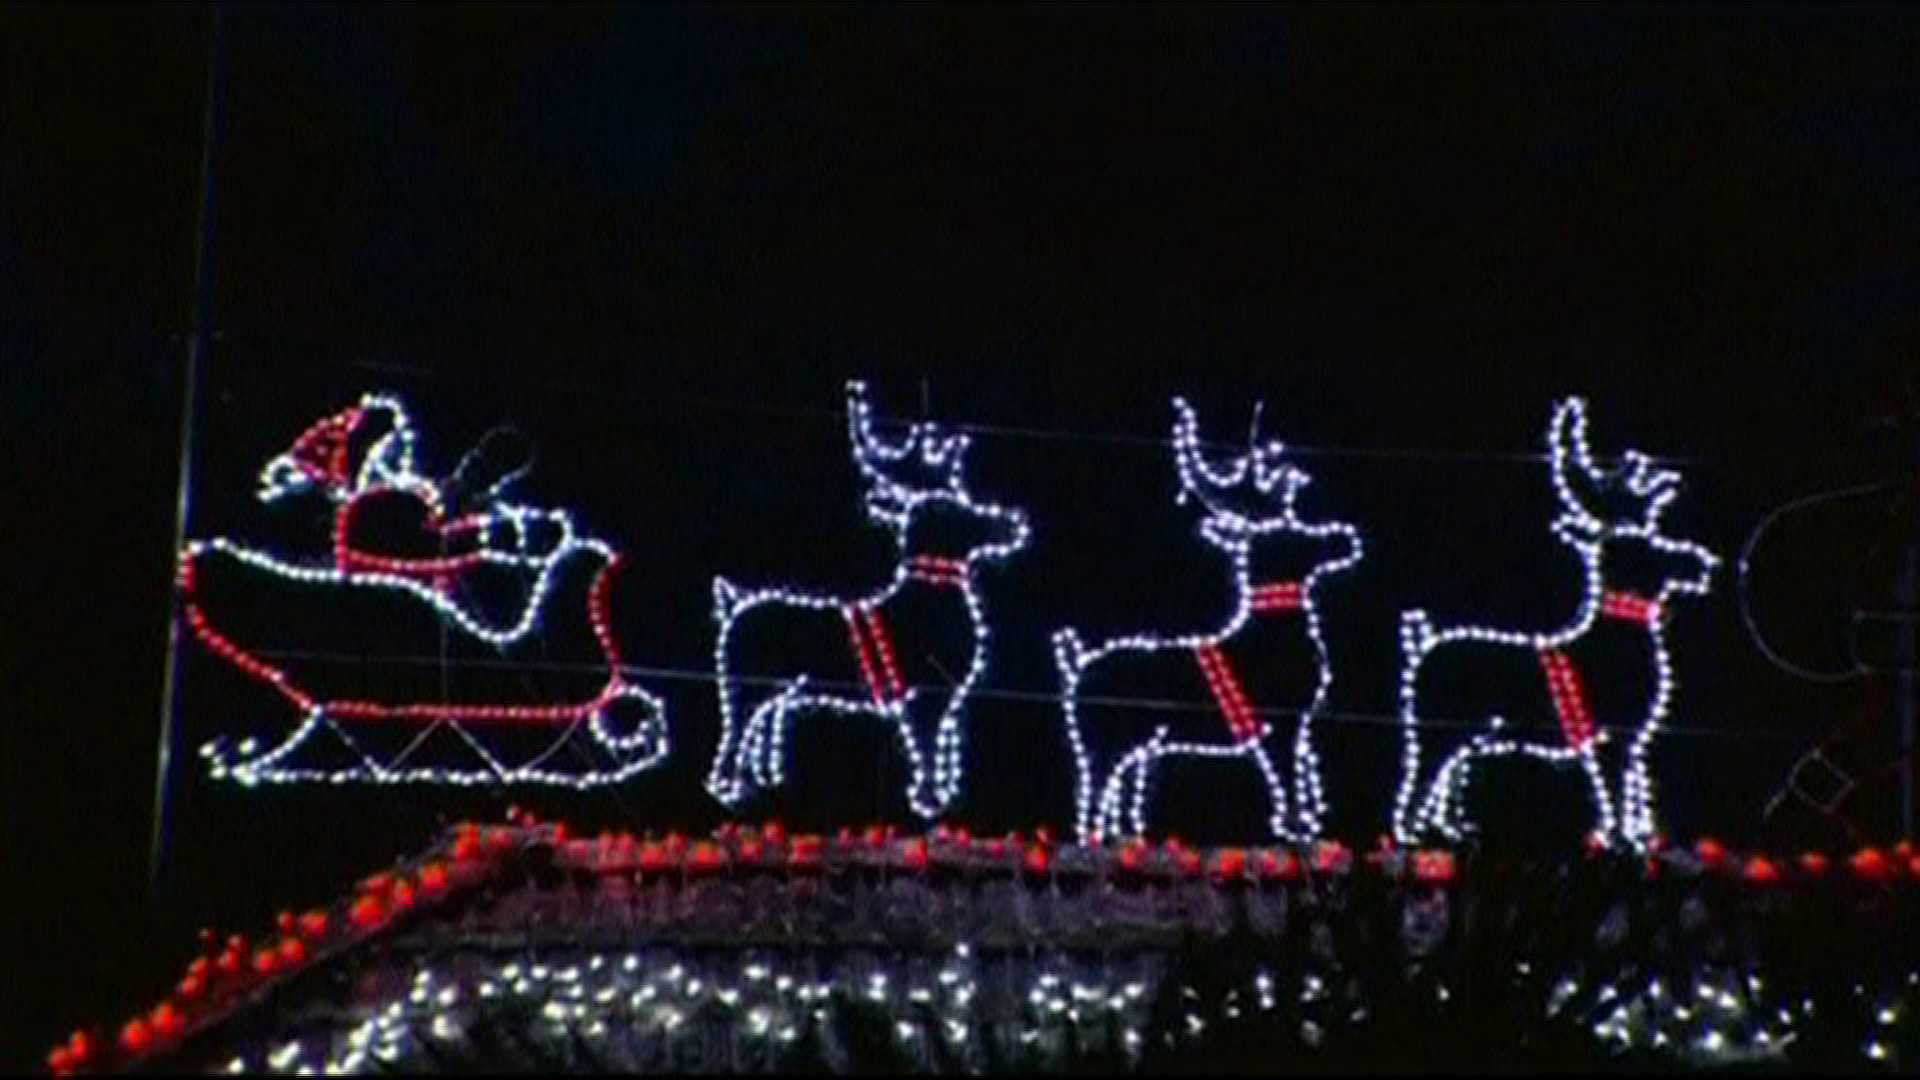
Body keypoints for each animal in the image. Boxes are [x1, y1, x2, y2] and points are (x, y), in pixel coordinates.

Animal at [705, 380, 1032, 820]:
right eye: (953, 506)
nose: (1014, 522)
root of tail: (733, 608)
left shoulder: (946, 698)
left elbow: (942, 750)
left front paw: (942, 797)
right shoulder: (920, 695)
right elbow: (926, 749)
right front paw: (928, 801)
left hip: (779, 688)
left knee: (763, 722)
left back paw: (761, 779)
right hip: (742, 680)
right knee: (735, 727)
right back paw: (726, 786)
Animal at [1051, 398, 1363, 845]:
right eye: (1289, 532)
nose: (1346, 539)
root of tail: (1076, 666)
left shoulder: (1290, 726)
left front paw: (1301, 825)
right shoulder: (1281, 723)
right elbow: (1287, 779)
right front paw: (1297, 829)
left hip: (1142, 743)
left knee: (1121, 784)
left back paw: (1125, 835)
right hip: (1104, 737)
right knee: (1095, 784)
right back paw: (1092, 837)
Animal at [1391, 397, 1718, 851]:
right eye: (1640, 543)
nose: (1703, 565)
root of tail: (1422, 643)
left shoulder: (1634, 740)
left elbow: (1636, 786)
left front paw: (1640, 837)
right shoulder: (1607, 736)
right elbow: (1614, 790)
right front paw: (1619, 839)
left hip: (1476, 732)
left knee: (1451, 770)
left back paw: (1453, 829)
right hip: (1436, 727)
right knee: (1421, 771)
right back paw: (1409, 833)